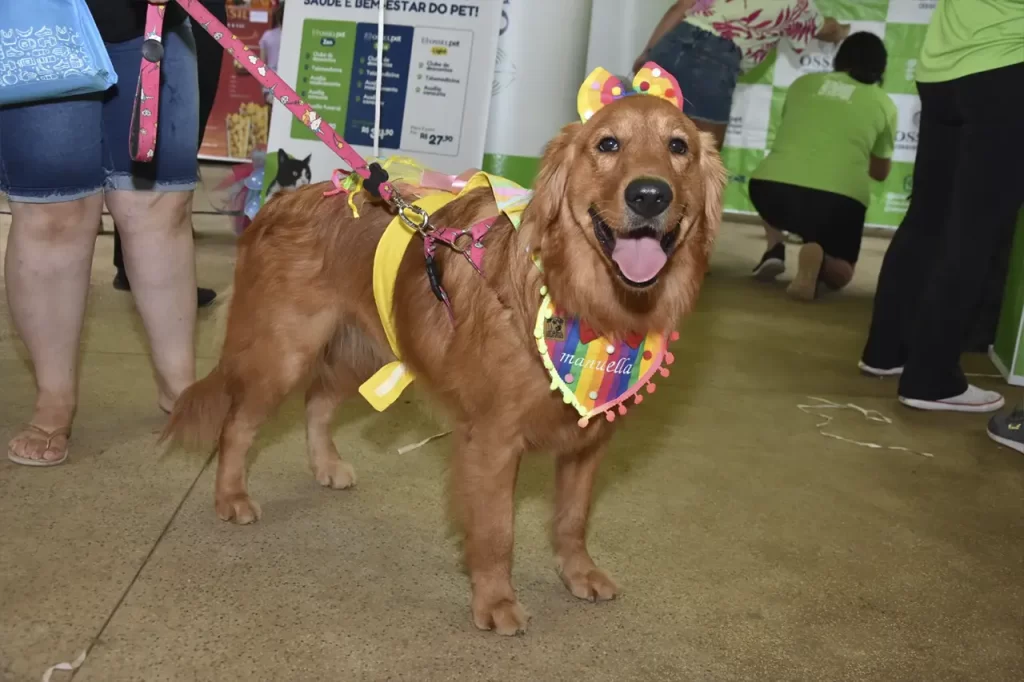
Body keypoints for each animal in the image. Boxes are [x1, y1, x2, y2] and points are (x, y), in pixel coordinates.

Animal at [163, 90, 729, 630]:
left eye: (678, 146)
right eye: (607, 144)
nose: (649, 194)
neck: (583, 305)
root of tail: (283, 200)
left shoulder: (588, 441)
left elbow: (572, 519)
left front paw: (578, 573)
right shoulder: (494, 441)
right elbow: (497, 531)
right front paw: (496, 601)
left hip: (359, 349)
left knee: (317, 402)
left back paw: (325, 464)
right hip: (282, 353)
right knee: (237, 425)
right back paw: (231, 496)